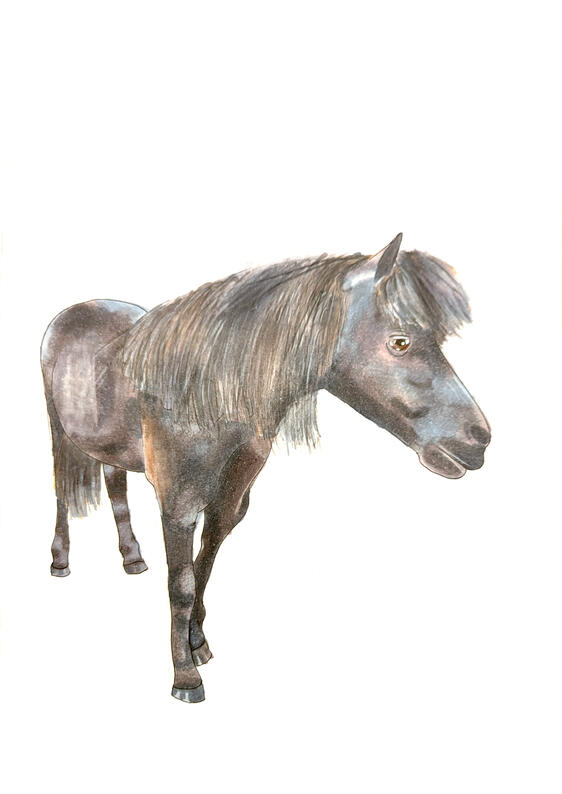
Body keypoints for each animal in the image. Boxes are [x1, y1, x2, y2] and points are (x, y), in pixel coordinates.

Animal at [41, 233, 490, 703]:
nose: (479, 439)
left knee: (114, 486)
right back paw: (60, 560)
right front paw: (185, 676)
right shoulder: (178, 507)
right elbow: (180, 586)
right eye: (400, 342)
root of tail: (78, 309)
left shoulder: (228, 503)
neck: (209, 392)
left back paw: (132, 559)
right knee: (61, 493)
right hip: (57, 431)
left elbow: (204, 567)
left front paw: (198, 643)